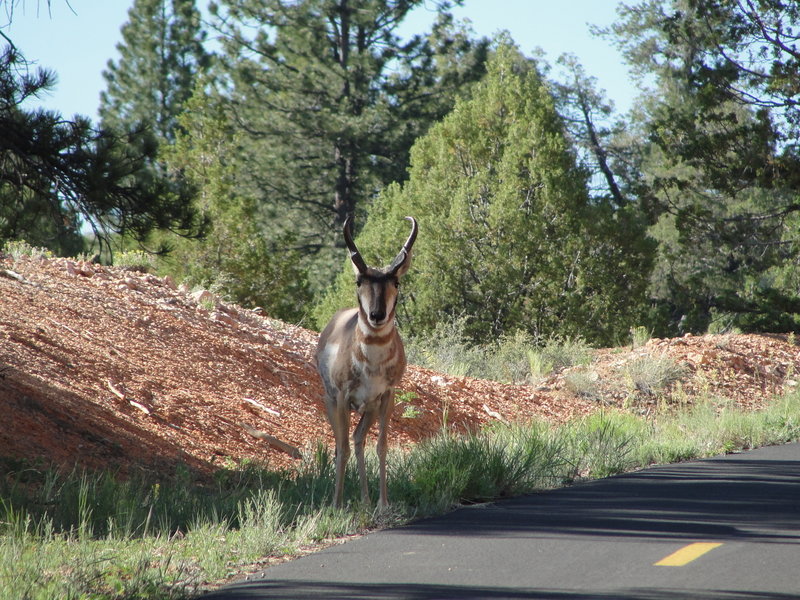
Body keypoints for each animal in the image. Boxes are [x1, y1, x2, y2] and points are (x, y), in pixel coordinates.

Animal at [316, 214, 418, 506]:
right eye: (359, 281)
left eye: (396, 282)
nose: (376, 315)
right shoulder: (342, 397)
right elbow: (342, 448)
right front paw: (337, 504)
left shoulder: (386, 397)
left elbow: (381, 445)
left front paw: (383, 503)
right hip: (332, 402)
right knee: (342, 443)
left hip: (368, 409)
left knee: (358, 438)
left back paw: (365, 499)